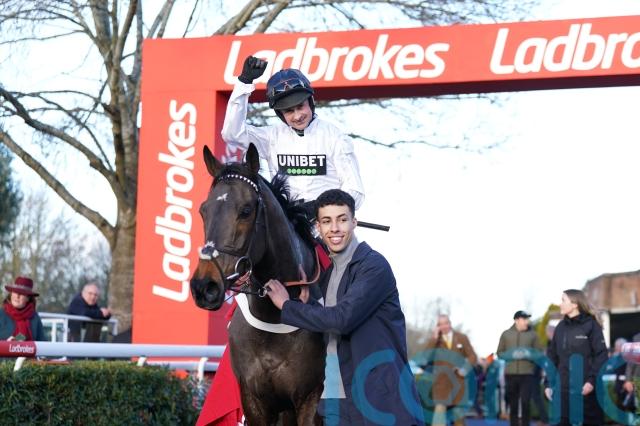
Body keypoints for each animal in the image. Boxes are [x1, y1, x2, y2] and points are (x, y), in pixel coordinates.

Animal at [190, 143, 325, 425]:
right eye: (203, 210)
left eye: (245, 210)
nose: (204, 287)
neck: (273, 319)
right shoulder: (254, 400)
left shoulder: (309, 399)